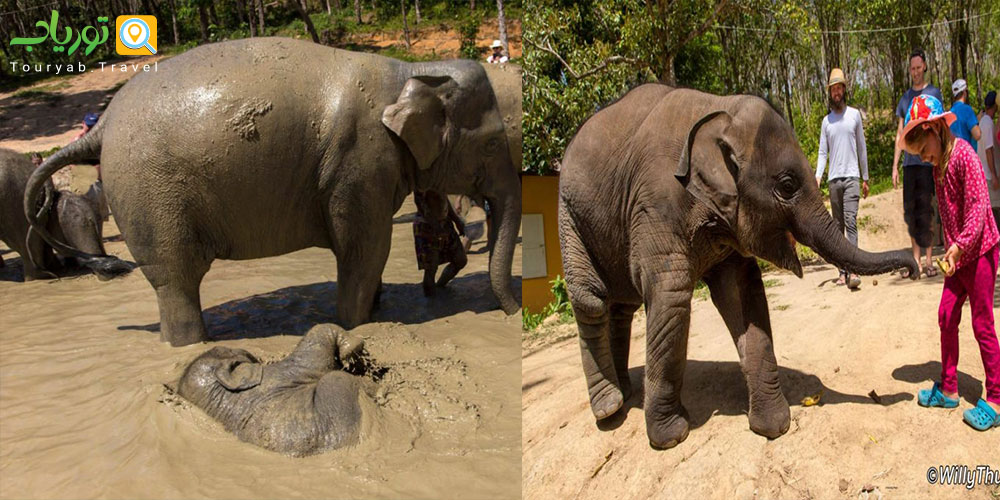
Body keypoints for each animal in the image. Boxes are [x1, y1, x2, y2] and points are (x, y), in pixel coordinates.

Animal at [24, 38, 522, 346]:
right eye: (493, 143)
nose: (513, 313)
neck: (410, 71)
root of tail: (103, 122)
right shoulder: (359, 160)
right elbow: (365, 249)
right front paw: (356, 324)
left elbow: (368, 253)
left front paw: (376, 309)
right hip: (149, 192)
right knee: (175, 280)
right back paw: (190, 345)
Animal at [557, 85, 919, 449]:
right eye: (787, 186)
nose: (912, 269)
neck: (719, 110)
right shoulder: (656, 203)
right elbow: (671, 296)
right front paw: (670, 437)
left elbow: (743, 292)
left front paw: (774, 426)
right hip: (568, 215)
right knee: (591, 300)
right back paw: (609, 407)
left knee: (621, 306)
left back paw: (626, 391)